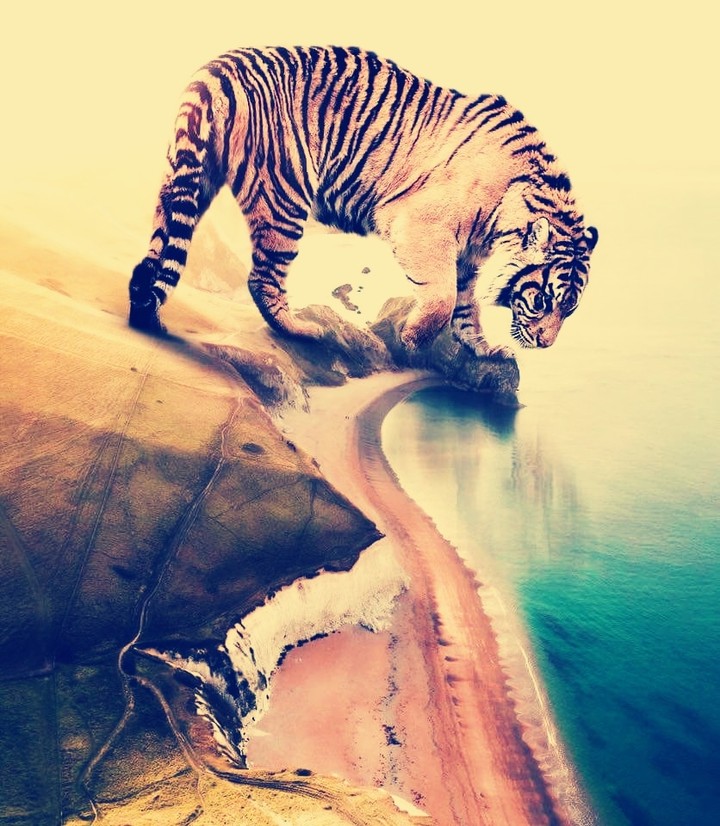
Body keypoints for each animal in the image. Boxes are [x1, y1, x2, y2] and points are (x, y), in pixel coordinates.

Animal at [129, 46, 598, 357]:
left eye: (570, 310)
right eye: (542, 301)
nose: (545, 344)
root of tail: (220, 67)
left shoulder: (469, 255)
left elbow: (467, 307)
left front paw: (485, 349)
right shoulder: (420, 226)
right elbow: (444, 297)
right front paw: (412, 339)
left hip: (188, 178)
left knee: (159, 252)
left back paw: (145, 313)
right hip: (286, 196)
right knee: (262, 278)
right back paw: (302, 331)